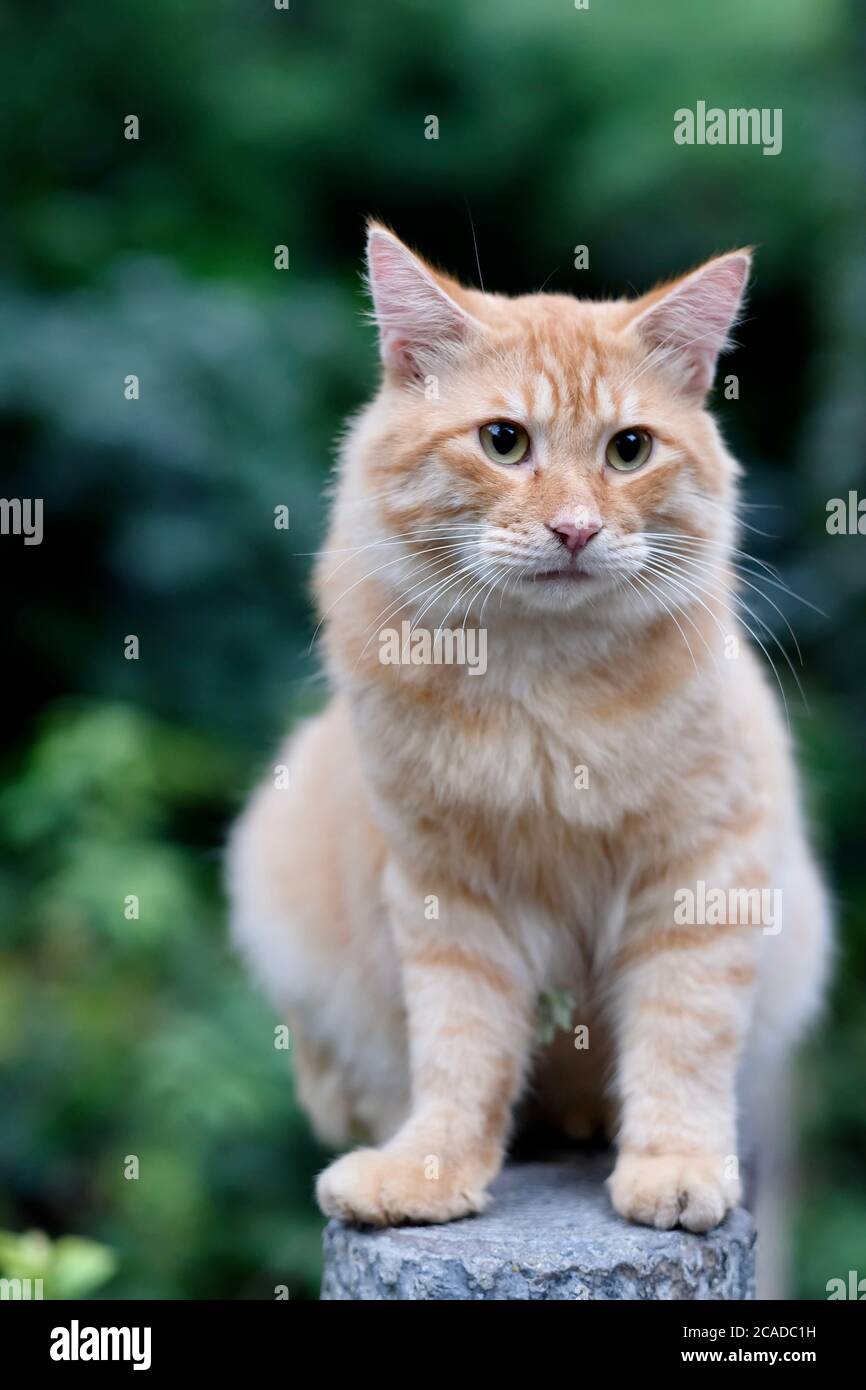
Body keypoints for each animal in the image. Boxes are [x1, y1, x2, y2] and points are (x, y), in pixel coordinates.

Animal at [226, 225, 828, 1273]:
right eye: (504, 442)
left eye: (629, 450)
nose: (576, 529)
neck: (544, 684)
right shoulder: (449, 895)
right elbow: (458, 1052)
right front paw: (428, 1173)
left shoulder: (703, 873)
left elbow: (683, 1039)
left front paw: (675, 1168)